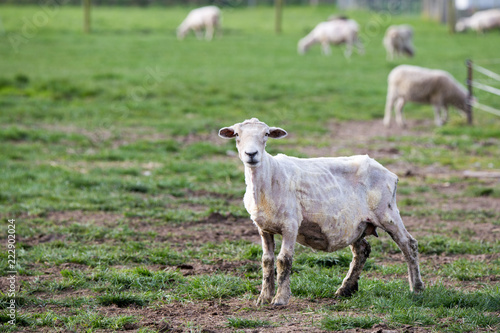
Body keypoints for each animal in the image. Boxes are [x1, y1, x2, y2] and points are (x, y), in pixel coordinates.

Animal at [217, 118, 424, 304]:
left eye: (266, 134)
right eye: (237, 135)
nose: (251, 154)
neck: (269, 177)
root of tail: (389, 173)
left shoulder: (291, 224)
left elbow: (284, 260)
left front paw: (280, 299)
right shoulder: (263, 228)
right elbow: (267, 261)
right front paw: (263, 298)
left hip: (387, 213)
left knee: (409, 245)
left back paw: (417, 288)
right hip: (356, 223)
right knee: (362, 251)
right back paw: (345, 289)